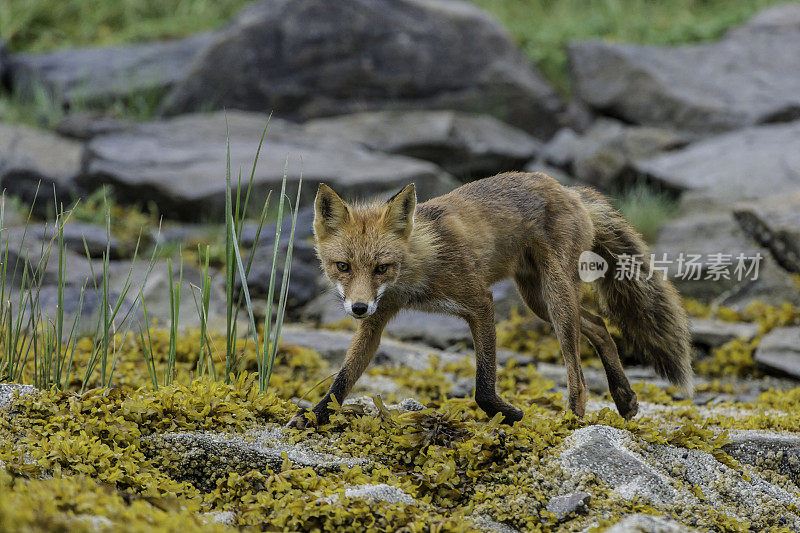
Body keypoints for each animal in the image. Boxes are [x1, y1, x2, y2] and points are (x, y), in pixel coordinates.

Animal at [290, 171, 692, 428]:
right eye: (342, 266)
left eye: (381, 268)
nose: (357, 308)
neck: (417, 272)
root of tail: (569, 189)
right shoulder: (377, 319)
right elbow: (342, 380)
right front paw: (313, 416)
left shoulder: (480, 302)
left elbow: (484, 386)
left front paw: (510, 415)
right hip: (537, 301)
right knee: (599, 325)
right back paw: (624, 398)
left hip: (556, 295)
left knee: (576, 370)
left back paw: (571, 421)